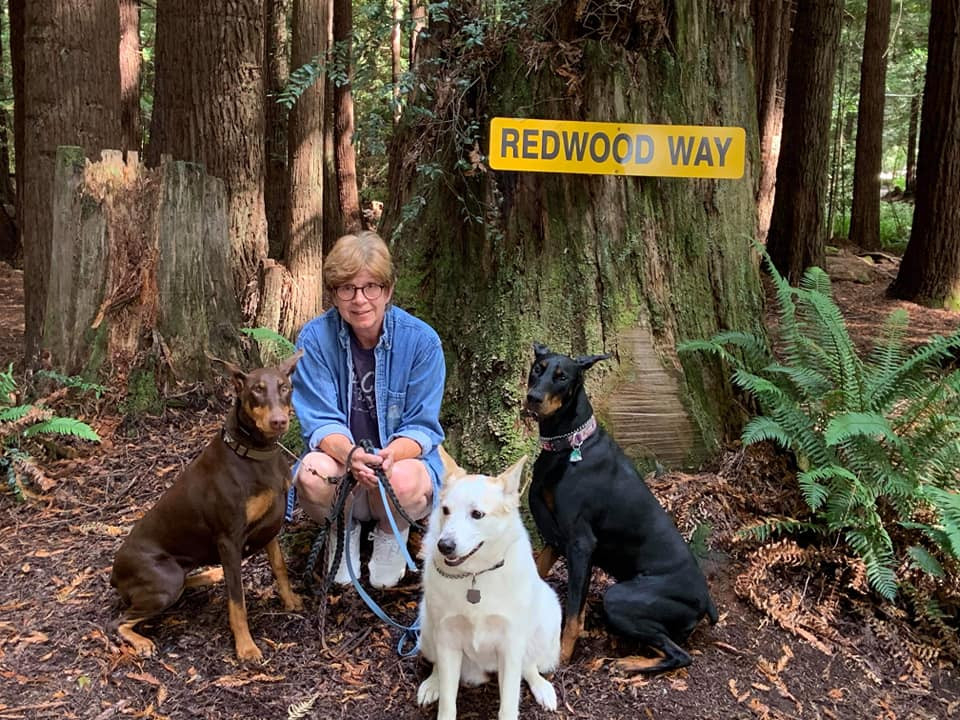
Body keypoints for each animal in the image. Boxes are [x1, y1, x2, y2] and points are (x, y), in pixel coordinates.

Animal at [414, 450, 564, 720]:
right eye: (445, 510)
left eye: (477, 514)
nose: (444, 546)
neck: (475, 575)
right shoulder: (447, 639)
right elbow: (448, 702)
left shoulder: (510, 644)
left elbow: (509, 703)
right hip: (428, 626)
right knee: (438, 667)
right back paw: (433, 684)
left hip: (548, 619)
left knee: (529, 666)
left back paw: (542, 687)